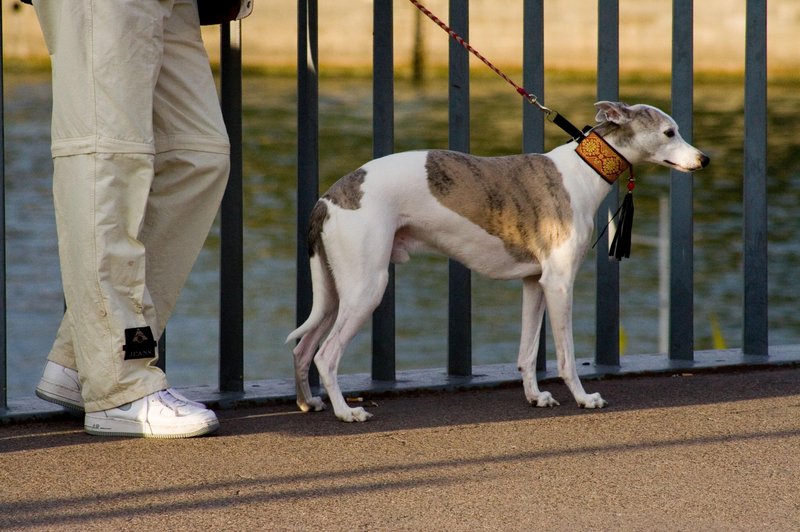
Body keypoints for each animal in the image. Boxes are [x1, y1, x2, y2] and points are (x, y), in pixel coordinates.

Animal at [284, 102, 708, 422]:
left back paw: (310, 402)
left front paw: (536, 396)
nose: (704, 159)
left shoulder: (535, 283)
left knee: (304, 349)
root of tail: (326, 198)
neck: (581, 172)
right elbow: (567, 356)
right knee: (325, 354)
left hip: (335, 292)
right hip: (366, 289)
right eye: (669, 132)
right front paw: (584, 399)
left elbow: (527, 352)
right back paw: (346, 412)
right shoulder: (559, 284)